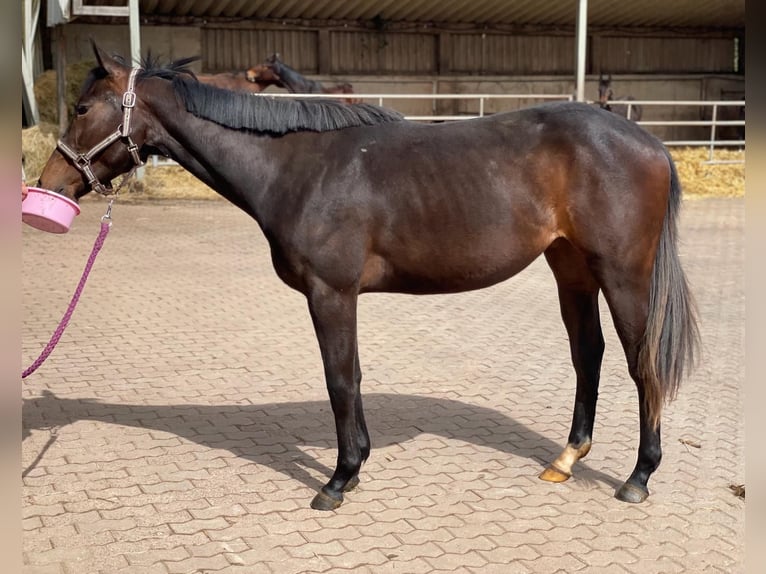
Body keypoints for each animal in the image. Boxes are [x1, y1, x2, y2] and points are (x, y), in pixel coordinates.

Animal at [37, 46, 704, 512]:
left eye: (82, 108)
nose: (51, 185)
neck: (296, 165)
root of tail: (649, 143)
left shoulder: (330, 294)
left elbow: (339, 379)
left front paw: (338, 479)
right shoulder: (341, 297)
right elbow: (352, 376)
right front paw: (355, 466)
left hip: (622, 275)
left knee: (641, 363)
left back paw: (638, 478)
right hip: (571, 268)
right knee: (587, 353)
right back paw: (565, 460)